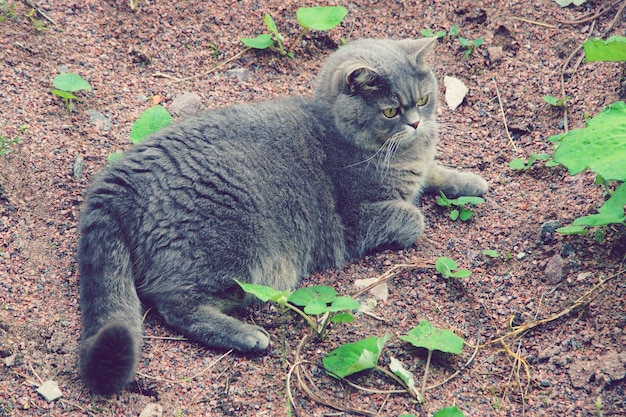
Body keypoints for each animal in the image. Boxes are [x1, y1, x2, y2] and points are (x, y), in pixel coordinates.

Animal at [79, 38, 488, 394]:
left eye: (424, 99)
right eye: (391, 111)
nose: (417, 123)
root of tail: (120, 179)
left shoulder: (419, 166)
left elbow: (435, 173)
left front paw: (470, 180)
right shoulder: (356, 220)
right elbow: (412, 218)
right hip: (234, 246)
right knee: (174, 302)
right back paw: (248, 335)